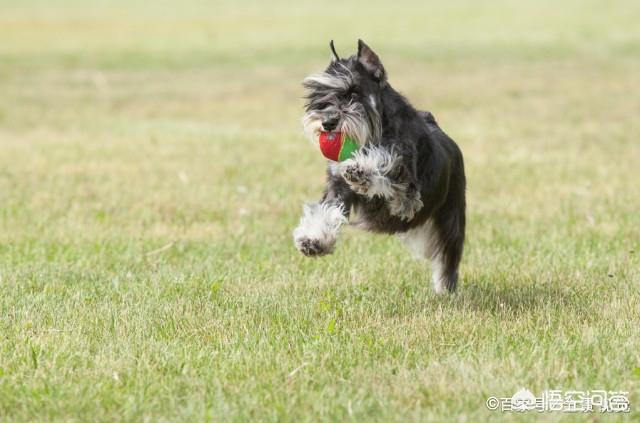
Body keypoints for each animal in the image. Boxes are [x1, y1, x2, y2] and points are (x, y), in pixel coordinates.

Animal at [294, 39, 464, 294]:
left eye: (354, 93)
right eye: (320, 94)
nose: (327, 122)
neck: (374, 133)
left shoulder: (407, 195)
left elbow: (386, 166)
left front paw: (362, 169)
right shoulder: (337, 188)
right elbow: (326, 211)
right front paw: (313, 240)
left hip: (451, 219)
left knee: (448, 257)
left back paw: (445, 288)